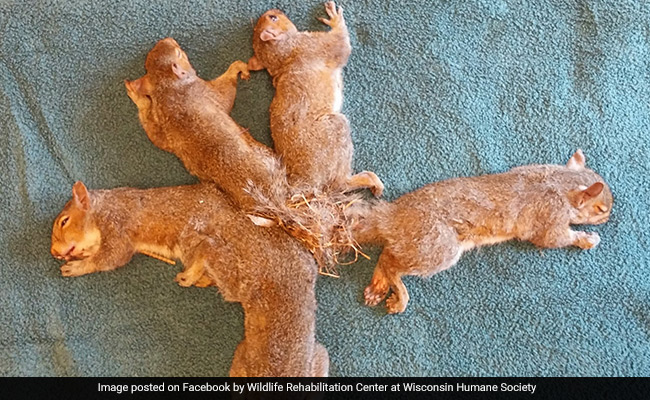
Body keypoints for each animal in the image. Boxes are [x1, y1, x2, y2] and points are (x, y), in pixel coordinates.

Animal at [50, 181, 329, 377]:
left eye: (64, 221)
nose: (54, 252)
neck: (103, 208)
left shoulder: (117, 225)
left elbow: (111, 257)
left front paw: (77, 266)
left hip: (230, 261)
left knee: (209, 252)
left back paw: (193, 271)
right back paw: (200, 277)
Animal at [249, 2, 384, 197]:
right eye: (273, 18)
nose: (274, 10)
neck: (282, 54)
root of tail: (302, 181)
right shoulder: (314, 45)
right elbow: (341, 44)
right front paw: (335, 20)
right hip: (335, 130)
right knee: (338, 184)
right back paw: (367, 180)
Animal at [353, 150, 613, 314]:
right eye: (600, 208)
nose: (609, 217)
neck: (558, 183)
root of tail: (392, 216)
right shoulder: (550, 216)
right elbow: (555, 238)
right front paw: (587, 239)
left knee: (386, 254)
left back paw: (378, 285)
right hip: (437, 246)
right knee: (392, 264)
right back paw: (399, 294)